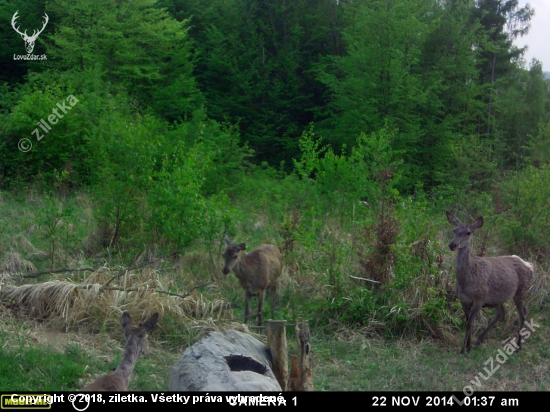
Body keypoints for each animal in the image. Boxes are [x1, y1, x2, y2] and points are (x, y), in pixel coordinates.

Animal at [448, 212, 536, 354]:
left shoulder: (479, 299)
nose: (452, 245)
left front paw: (463, 349)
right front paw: (468, 346)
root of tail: (530, 265)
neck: (466, 281)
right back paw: (479, 341)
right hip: (498, 298)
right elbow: (468, 322)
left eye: (468, 232)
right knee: (502, 312)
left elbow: (469, 323)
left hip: (521, 291)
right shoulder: (463, 300)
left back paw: (518, 346)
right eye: (455, 230)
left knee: (523, 313)